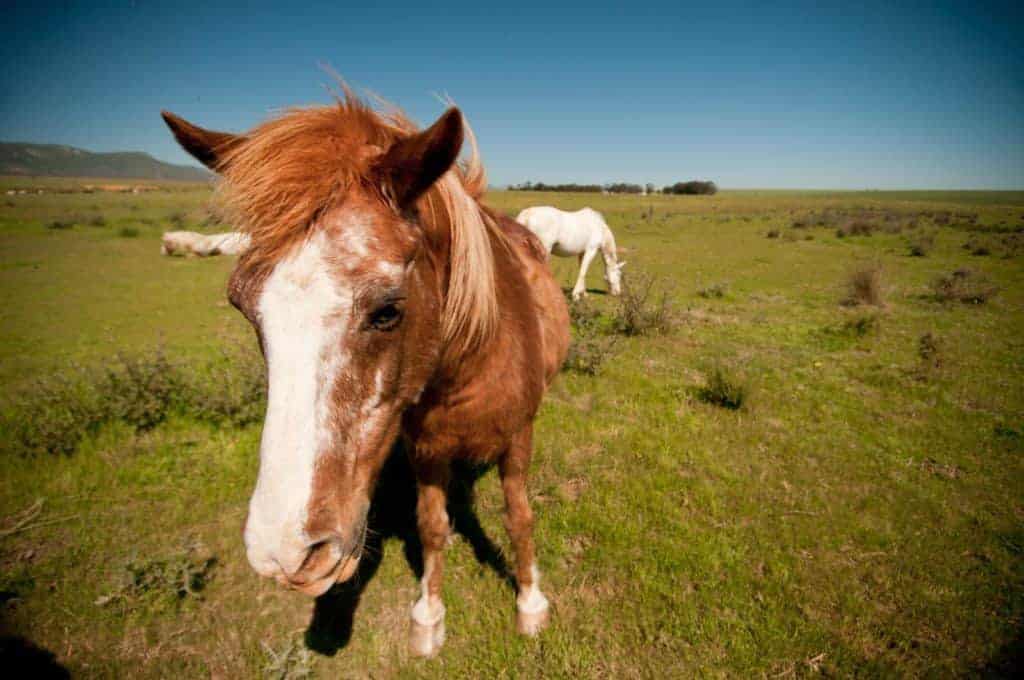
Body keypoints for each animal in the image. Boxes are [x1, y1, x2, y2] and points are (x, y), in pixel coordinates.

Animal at [161, 91, 570, 657]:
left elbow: (519, 518)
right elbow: (431, 526)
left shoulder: (518, 438)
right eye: (242, 305)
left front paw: (530, 604)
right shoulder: (426, 450)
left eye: (387, 310)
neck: (471, 363)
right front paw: (428, 617)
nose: (285, 554)